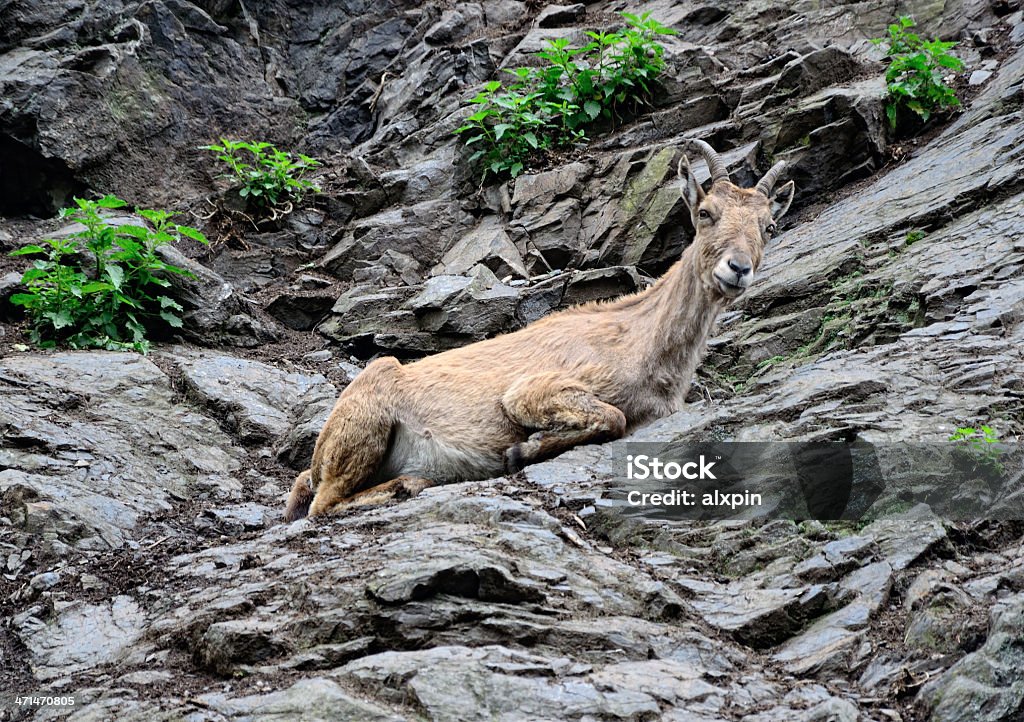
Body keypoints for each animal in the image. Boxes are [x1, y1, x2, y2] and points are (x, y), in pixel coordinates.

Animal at [284, 141, 794, 520]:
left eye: (769, 225)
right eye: (705, 212)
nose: (737, 269)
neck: (640, 339)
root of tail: (319, 454)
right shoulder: (533, 390)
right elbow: (611, 416)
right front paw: (521, 451)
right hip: (367, 420)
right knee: (322, 504)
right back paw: (406, 485)